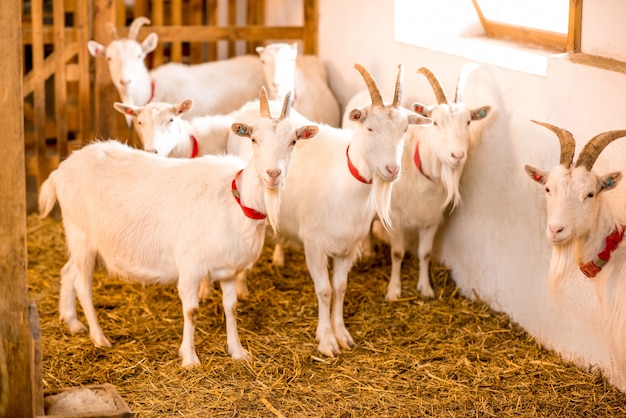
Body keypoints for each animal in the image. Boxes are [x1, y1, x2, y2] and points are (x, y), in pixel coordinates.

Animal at [37, 89, 316, 366]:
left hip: (82, 240)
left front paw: (237, 351)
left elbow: (231, 307)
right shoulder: (190, 265)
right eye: (254, 139)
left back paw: (72, 322)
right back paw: (99, 337)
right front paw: (190, 358)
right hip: (81, 234)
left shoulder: (228, 269)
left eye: (293, 141)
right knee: (82, 285)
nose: (273, 174)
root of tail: (60, 171)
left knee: (67, 271)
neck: (235, 199)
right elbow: (191, 311)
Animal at [270, 62, 432, 356]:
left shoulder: (347, 246)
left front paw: (342, 333)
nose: (392, 170)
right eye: (369, 128)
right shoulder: (314, 245)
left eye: (405, 130)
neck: (343, 180)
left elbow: (341, 287)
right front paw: (326, 340)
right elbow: (324, 290)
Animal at [344, 64, 490, 300]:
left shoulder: (431, 220)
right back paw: (368, 252)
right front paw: (394, 291)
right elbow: (397, 253)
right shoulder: (396, 218)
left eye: (468, 122)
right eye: (436, 123)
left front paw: (426, 288)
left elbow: (425, 254)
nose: (458, 156)